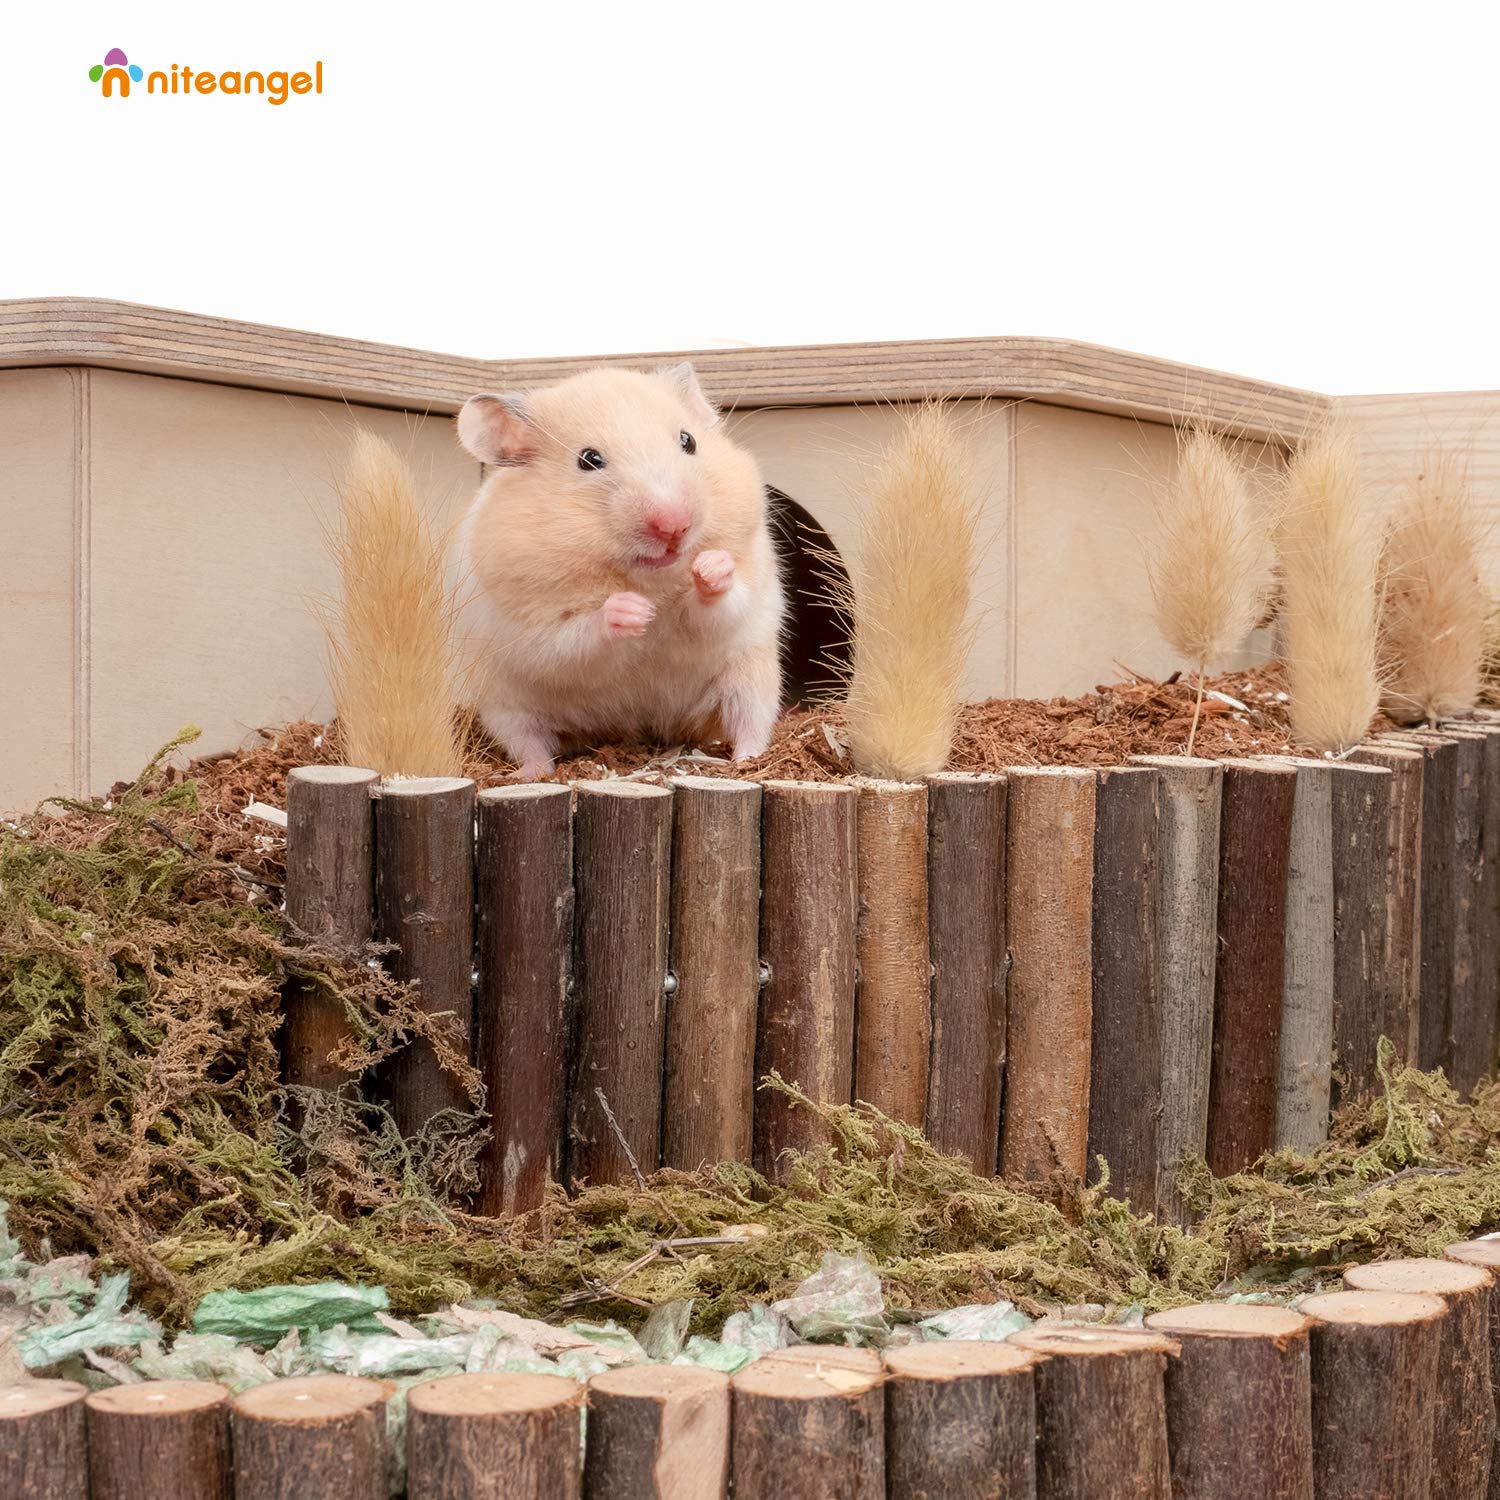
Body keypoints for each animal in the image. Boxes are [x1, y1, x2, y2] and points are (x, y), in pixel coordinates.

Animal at [455, 362, 785, 777]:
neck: (648, 578)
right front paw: (633, 609)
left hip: (752, 677)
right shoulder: (536, 629)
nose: (674, 526)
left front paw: (710, 568)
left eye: (688, 441)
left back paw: (745, 759)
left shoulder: (744, 592)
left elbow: (719, 606)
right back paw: (533, 772)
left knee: (750, 723)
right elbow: (577, 637)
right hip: (505, 706)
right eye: (588, 459)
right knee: (528, 742)